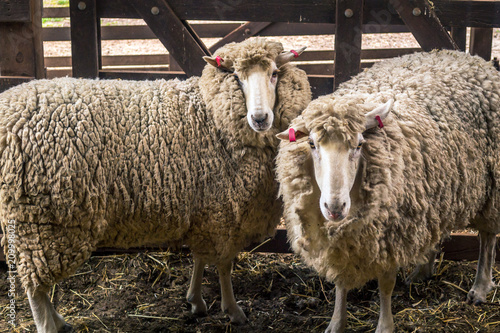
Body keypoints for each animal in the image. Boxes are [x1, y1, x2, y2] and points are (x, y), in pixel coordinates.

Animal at [0, 37, 312, 330]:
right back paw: (48, 324)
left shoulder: (205, 211)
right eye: (237, 77)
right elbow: (223, 265)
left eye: (274, 73)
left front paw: (195, 301)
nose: (259, 118)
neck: (211, 116)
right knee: (34, 286)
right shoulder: (223, 214)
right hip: (42, 221)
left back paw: (60, 320)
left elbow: (199, 258)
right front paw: (233, 310)